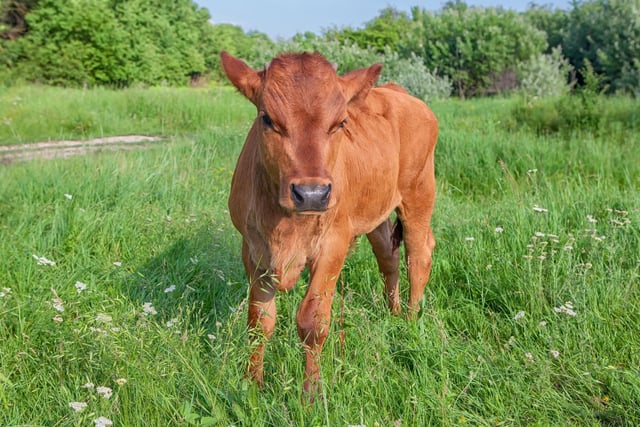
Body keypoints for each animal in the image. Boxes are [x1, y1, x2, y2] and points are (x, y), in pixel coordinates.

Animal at [221, 51, 440, 398]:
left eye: (340, 123)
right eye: (267, 119)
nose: (311, 193)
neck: (285, 227)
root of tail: (398, 92)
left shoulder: (332, 245)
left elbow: (312, 321)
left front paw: (311, 394)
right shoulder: (253, 250)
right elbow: (259, 321)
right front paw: (252, 384)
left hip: (419, 195)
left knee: (418, 257)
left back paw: (410, 322)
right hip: (375, 211)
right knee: (388, 257)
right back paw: (391, 313)